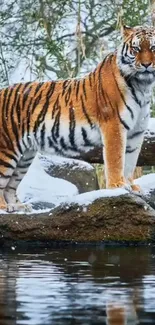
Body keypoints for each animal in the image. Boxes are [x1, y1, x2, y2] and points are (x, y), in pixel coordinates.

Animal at [0, 25, 155, 213]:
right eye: (136, 49)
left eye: (153, 48)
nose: (146, 65)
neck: (143, 85)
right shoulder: (114, 125)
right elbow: (116, 159)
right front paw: (117, 187)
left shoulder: (136, 131)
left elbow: (131, 161)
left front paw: (131, 187)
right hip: (6, 148)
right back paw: (4, 207)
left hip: (24, 156)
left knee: (10, 185)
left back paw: (18, 207)